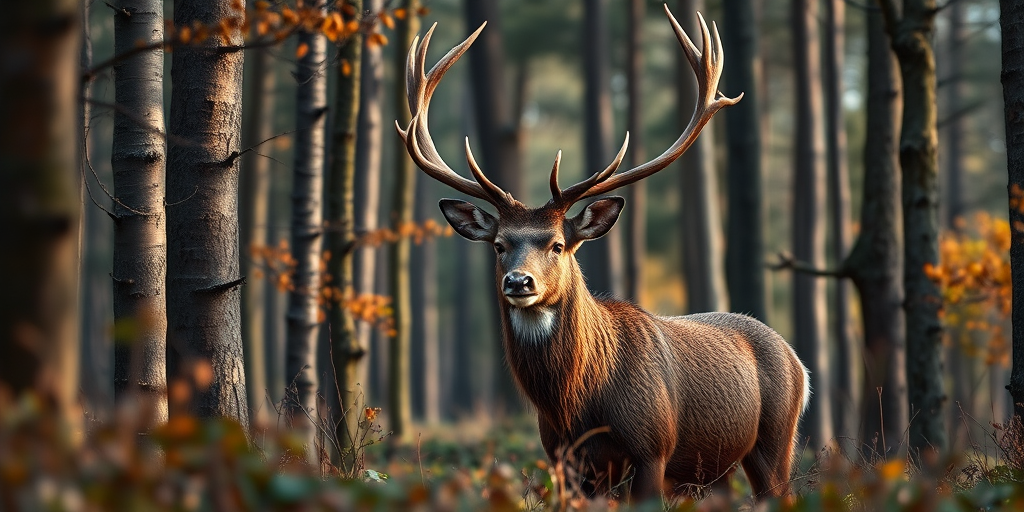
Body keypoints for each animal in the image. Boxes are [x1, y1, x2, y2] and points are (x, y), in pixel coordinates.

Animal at [396, 5, 809, 503]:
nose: (519, 281)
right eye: (499, 245)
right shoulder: (562, 457)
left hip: (776, 440)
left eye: (557, 244)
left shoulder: (653, 446)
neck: (578, 406)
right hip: (716, 470)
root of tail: (799, 362)